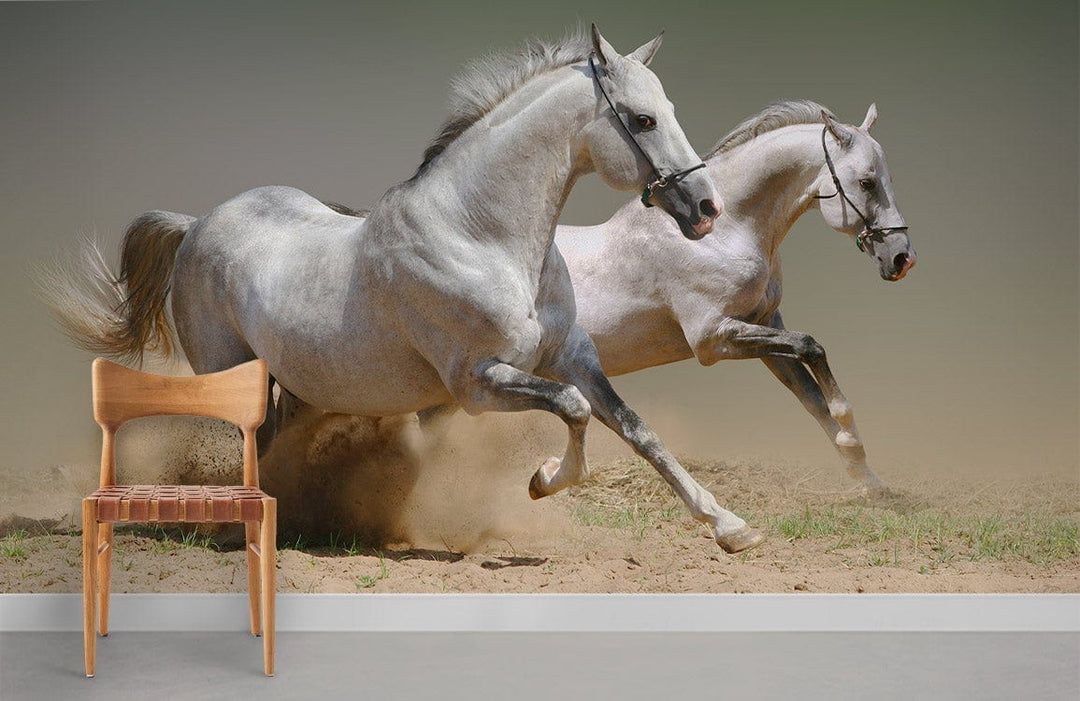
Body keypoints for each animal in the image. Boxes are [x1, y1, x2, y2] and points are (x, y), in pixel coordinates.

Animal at [42, 27, 767, 553]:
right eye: (643, 120)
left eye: (669, 110)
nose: (706, 208)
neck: (483, 236)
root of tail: (196, 225)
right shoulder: (477, 382)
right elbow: (575, 410)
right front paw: (542, 481)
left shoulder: (571, 356)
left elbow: (636, 429)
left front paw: (731, 528)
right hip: (230, 372)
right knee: (249, 442)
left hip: (296, 385)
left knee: (275, 443)